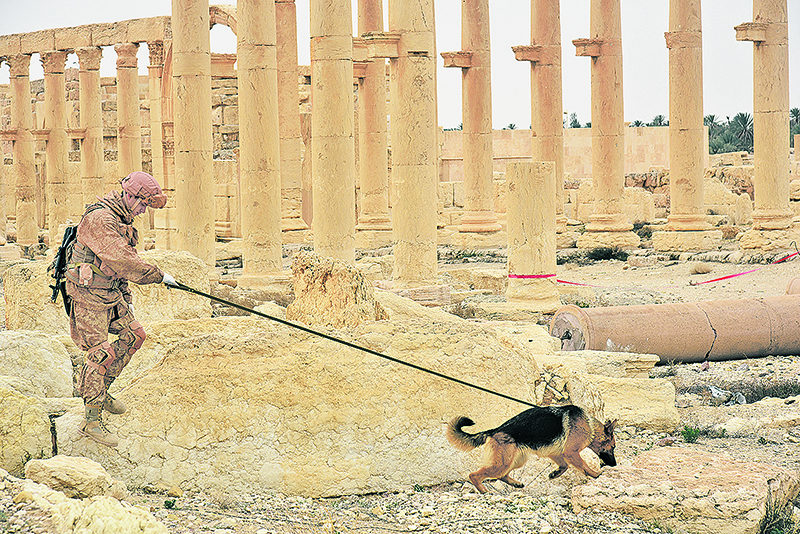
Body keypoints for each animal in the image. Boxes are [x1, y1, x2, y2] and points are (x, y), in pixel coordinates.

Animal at [450, 406, 620, 494]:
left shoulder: (556, 453)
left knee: (502, 475)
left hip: (516, 461)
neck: (589, 426)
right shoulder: (571, 453)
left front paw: (554, 474)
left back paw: (516, 484)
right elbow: (584, 466)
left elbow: (564, 466)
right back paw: (484, 491)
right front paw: (596, 474)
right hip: (502, 463)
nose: (615, 465)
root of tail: (495, 430)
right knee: (474, 475)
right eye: (613, 447)